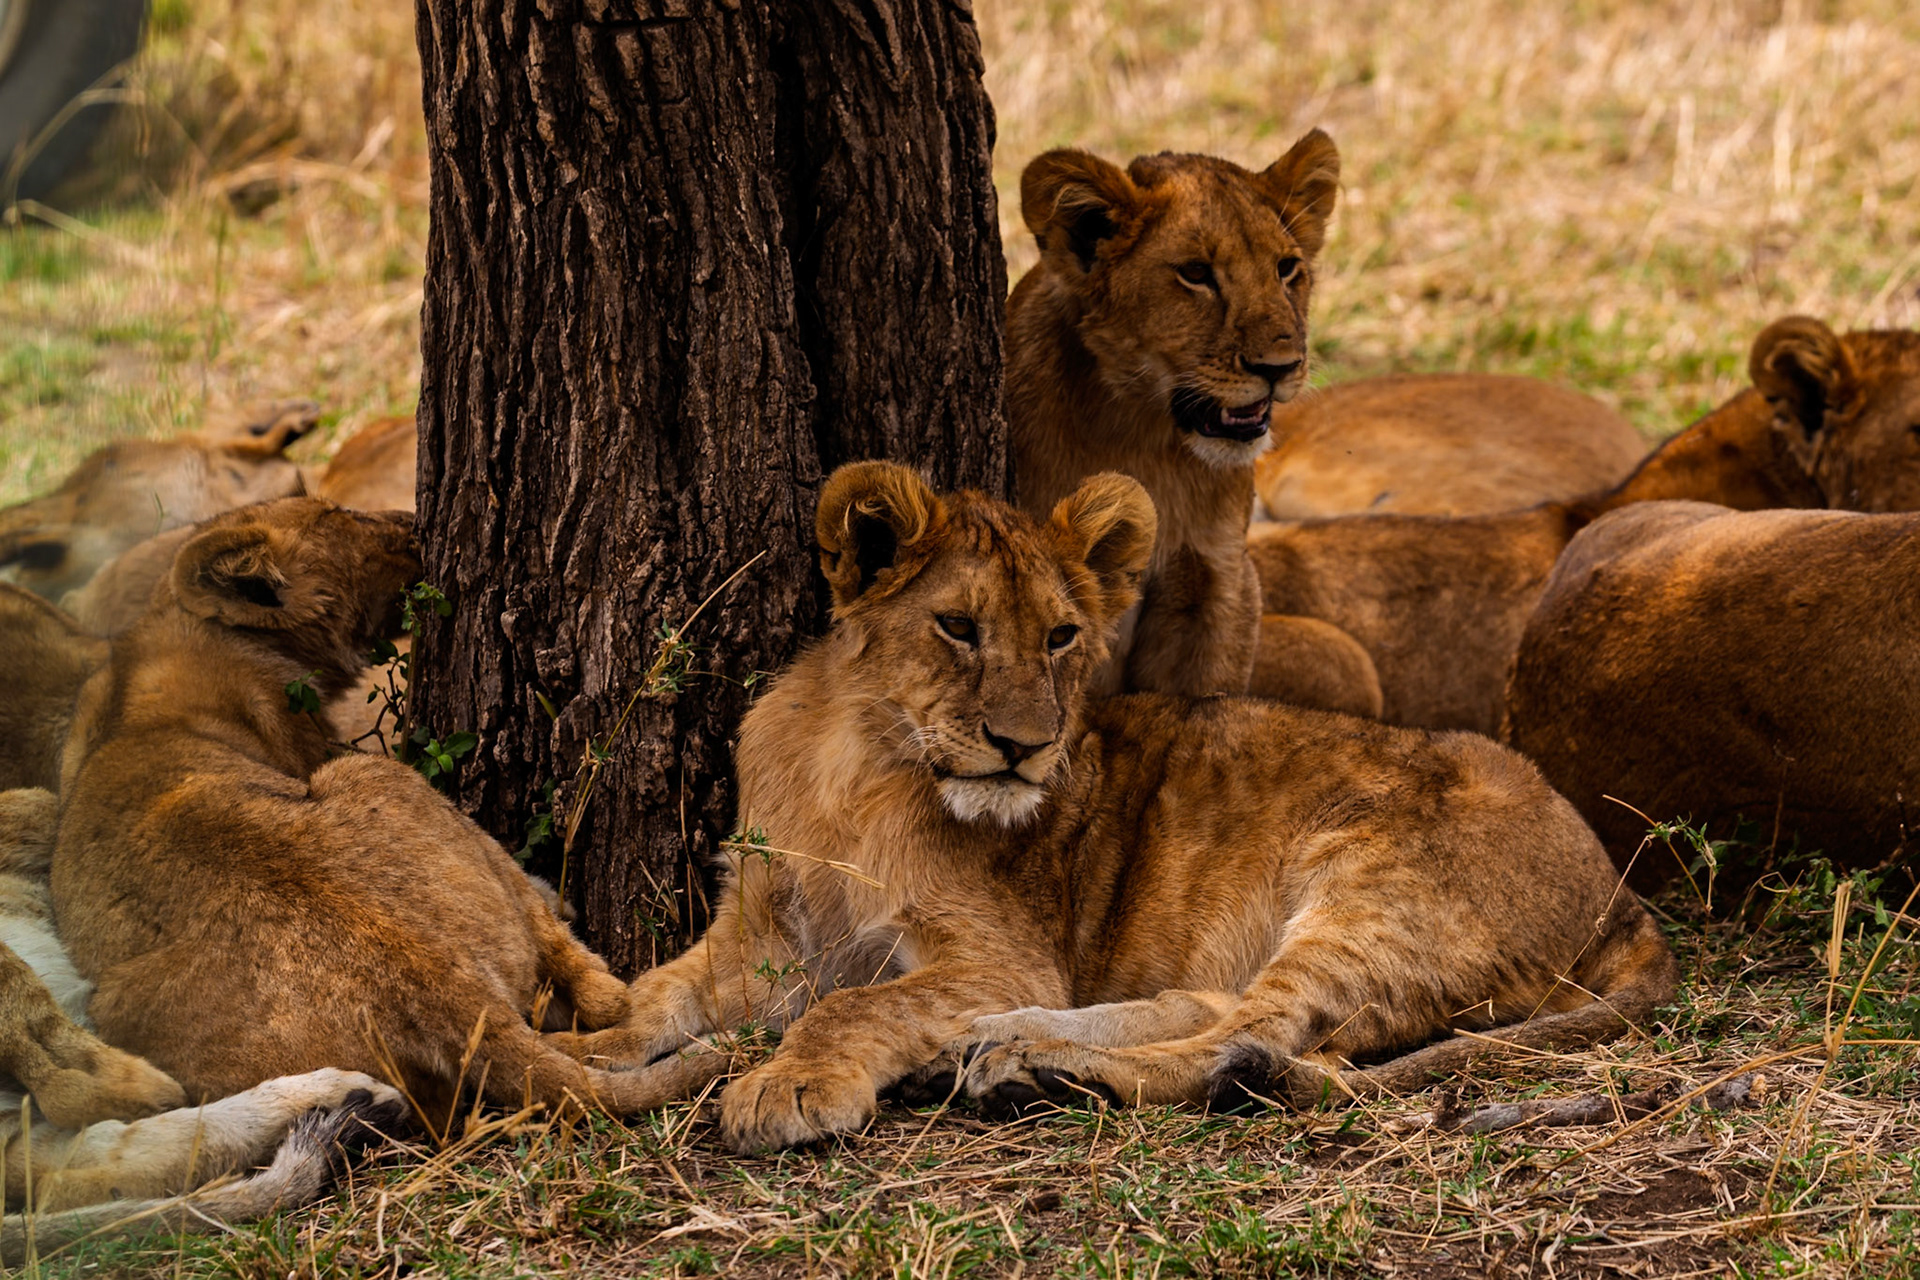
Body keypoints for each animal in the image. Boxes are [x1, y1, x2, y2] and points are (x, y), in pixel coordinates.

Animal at [49, 498, 723, 1121]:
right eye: (345, 513)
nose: (412, 521)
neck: (169, 634)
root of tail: (453, 994)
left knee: (602, 997)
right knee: (592, 987)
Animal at [556, 462, 1677, 1153]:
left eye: (1060, 636)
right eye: (957, 627)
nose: (1024, 745)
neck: (851, 763)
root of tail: (1623, 892)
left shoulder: (1001, 952)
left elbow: (855, 1002)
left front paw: (786, 1085)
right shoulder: (758, 936)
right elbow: (656, 995)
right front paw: (579, 1054)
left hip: (1372, 892)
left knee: (1251, 1041)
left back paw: (1038, 1066)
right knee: (1218, 1008)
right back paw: (997, 1051)